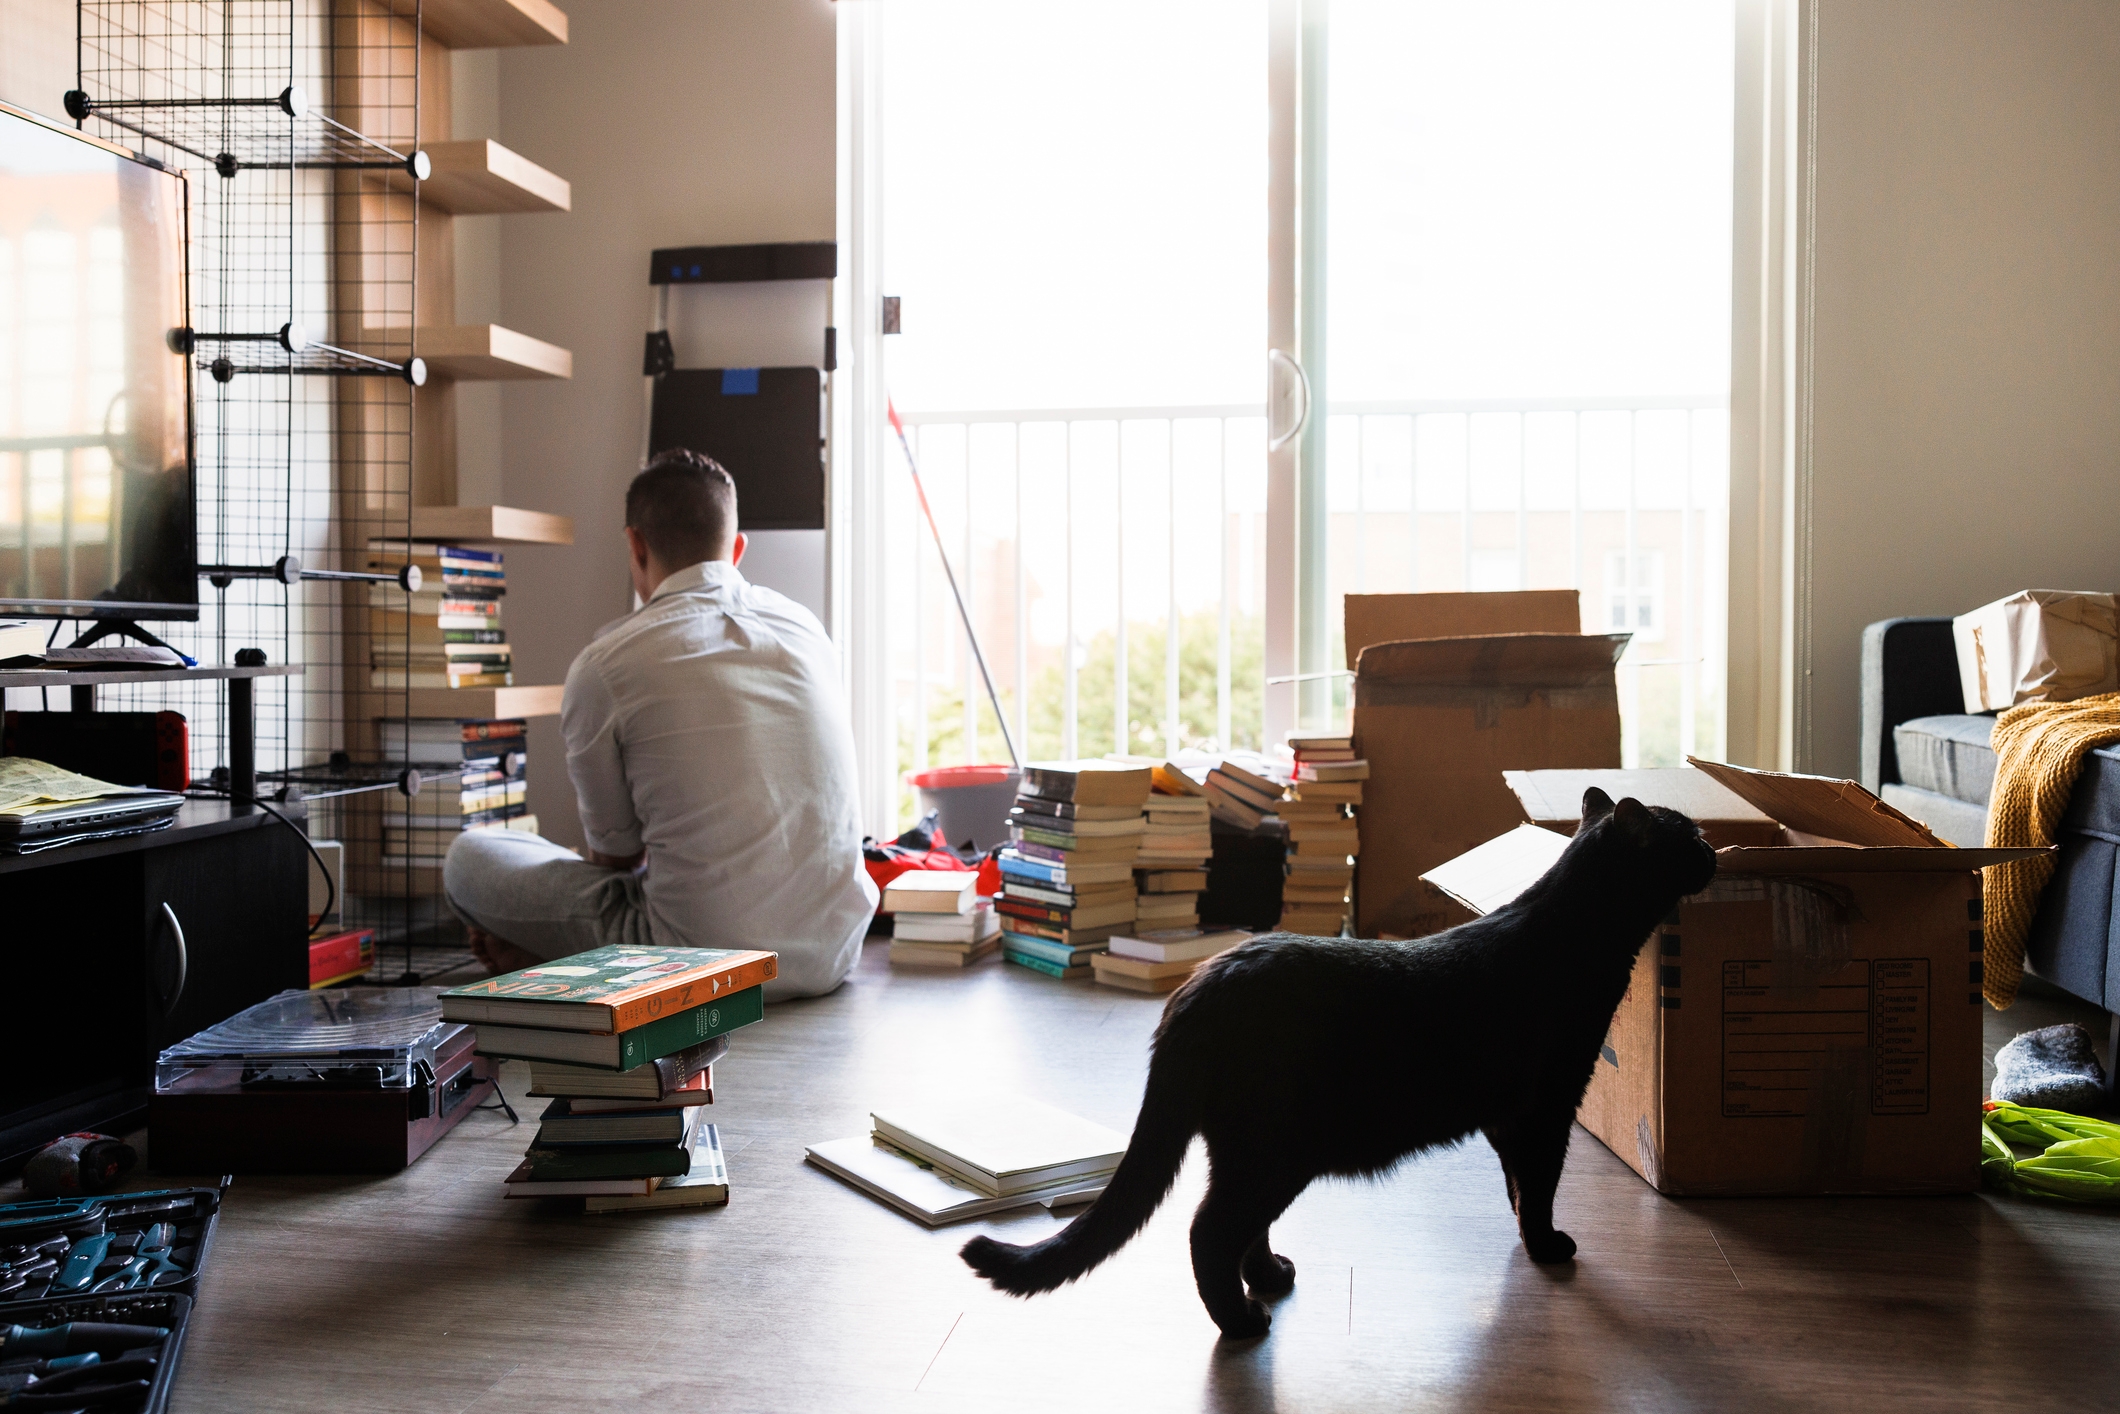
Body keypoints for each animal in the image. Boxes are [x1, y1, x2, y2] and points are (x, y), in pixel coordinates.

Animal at [966, 792, 1721, 1348]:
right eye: (1689, 834)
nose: (1717, 850)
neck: (1569, 931)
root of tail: (1199, 986)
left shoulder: (1509, 1119)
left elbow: (1516, 1186)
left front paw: (1529, 1238)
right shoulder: (1546, 1108)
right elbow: (1539, 1187)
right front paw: (1548, 1248)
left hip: (1249, 1152)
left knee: (1240, 1228)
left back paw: (1270, 1279)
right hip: (1271, 1153)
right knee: (1209, 1231)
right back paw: (1243, 1322)